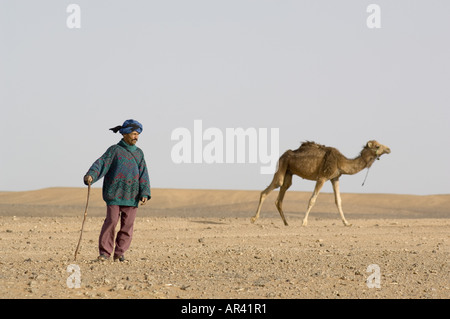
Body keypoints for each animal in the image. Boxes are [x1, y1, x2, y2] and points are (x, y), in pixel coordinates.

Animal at [250, 141, 390, 228]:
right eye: (377, 146)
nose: (389, 149)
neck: (341, 162)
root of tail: (283, 154)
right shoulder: (322, 177)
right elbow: (312, 199)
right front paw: (304, 222)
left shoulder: (335, 178)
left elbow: (338, 201)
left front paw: (347, 223)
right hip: (282, 164)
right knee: (271, 188)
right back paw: (253, 219)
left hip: (289, 172)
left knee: (281, 193)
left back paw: (286, 223)